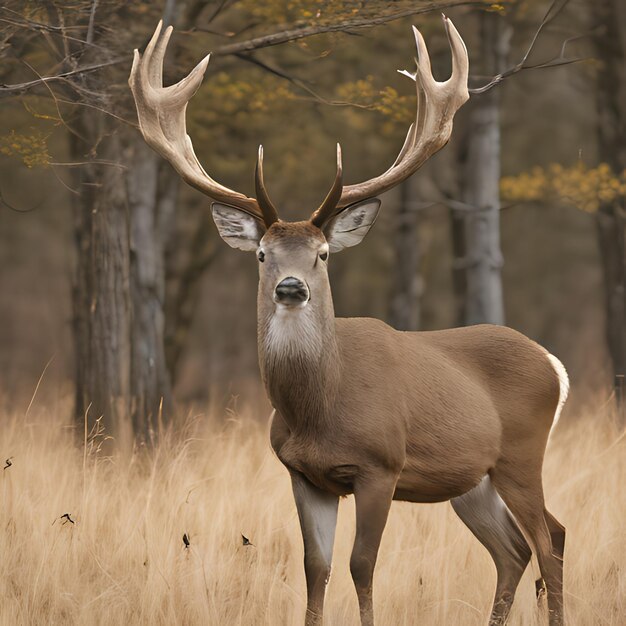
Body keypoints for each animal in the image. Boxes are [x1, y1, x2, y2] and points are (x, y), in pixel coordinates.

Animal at [129, 18, 568, 624]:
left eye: (322, 254)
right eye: (262, 255)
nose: (292, 288)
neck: (319, 409)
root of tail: (553, 364)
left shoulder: (380, 465)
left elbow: (363, 566)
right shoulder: (302, 474)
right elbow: (316, 568)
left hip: (523, 454)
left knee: (549, 542)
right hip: (472, 479)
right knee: (519, 548)